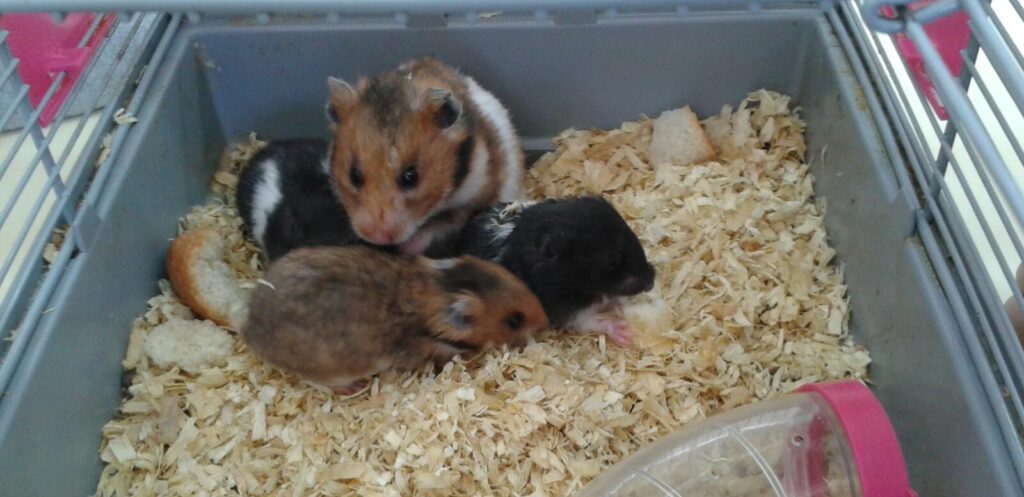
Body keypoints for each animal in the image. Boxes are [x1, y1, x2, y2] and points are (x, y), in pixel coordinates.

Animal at [324, 57, 525, 255]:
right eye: (354, 176)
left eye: (411, 177)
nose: (377, 238)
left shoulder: (475, 201)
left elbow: (443, 225)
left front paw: (407, 248)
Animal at [426, 197, 655, 347]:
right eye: (612, 263)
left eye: (633, 237)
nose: (651, 282)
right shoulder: (562, 309)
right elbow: (589, 321)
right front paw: (624, 333)